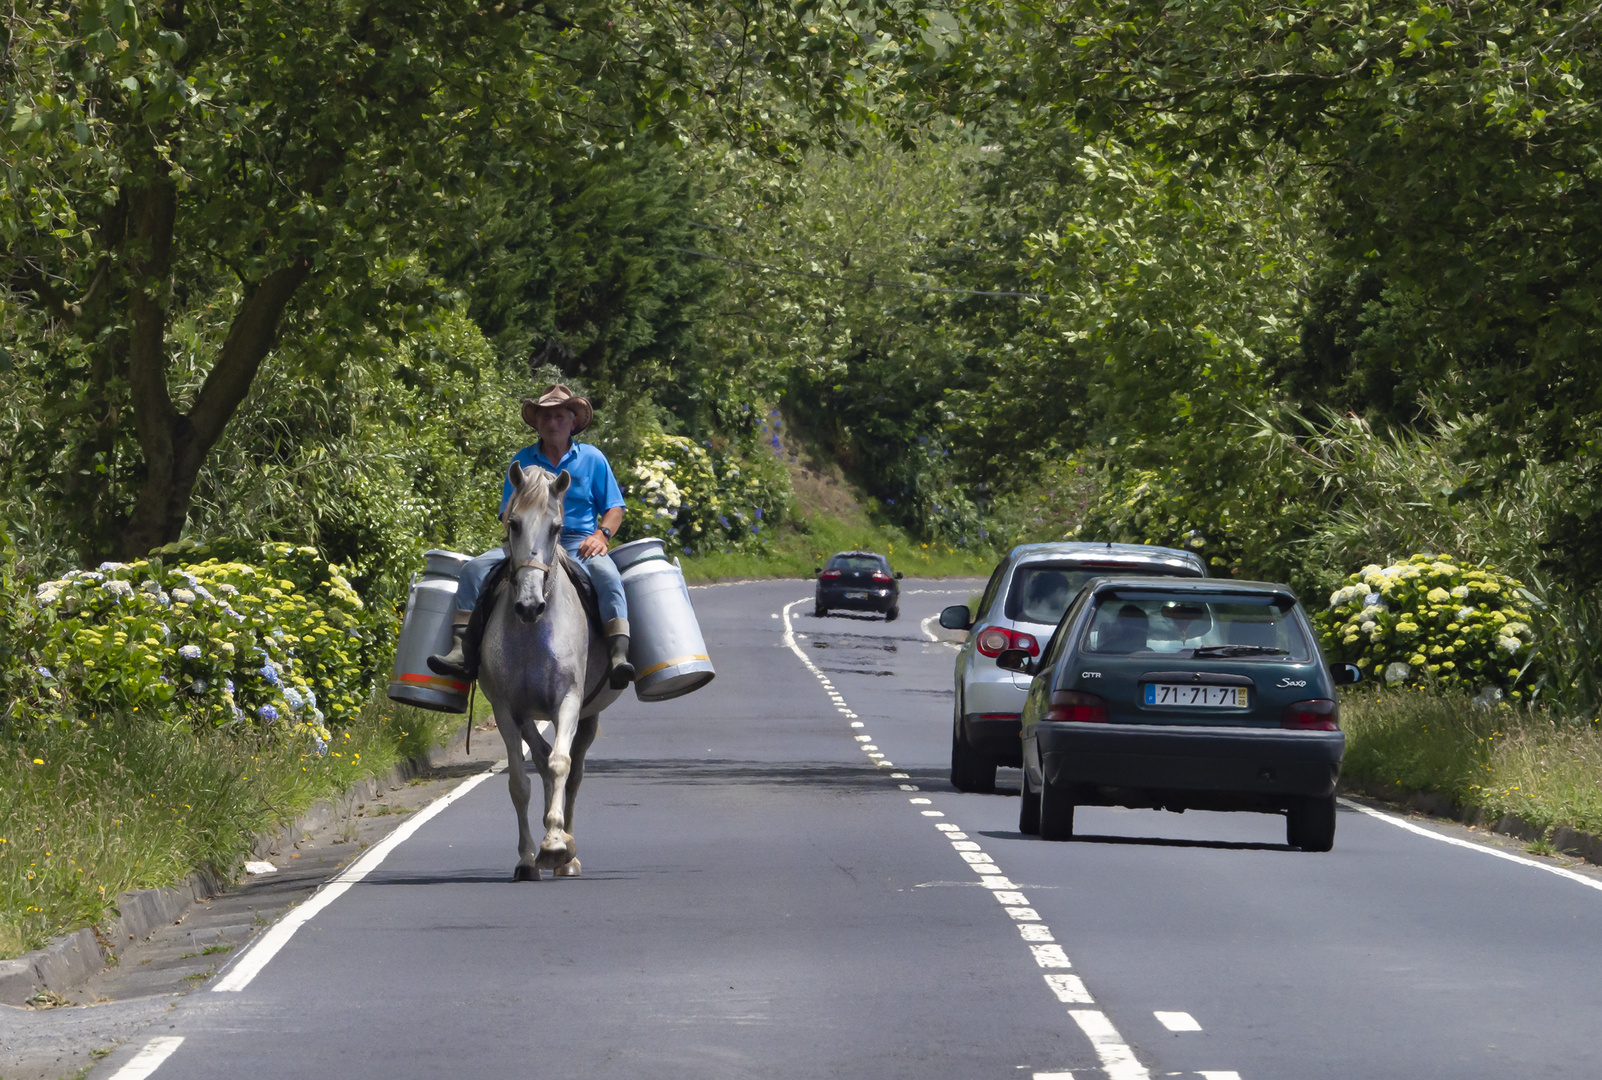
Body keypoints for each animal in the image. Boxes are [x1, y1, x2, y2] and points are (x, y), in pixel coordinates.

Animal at [477, 461, 621, 871]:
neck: (532, 632)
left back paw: (567, 853)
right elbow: (519, 781)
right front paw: (528, 857)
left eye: (556, 527)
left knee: (572, 772)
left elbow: (561, 764)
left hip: (587, 715)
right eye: (513, 523)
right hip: (528, 717)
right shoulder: (507, 710)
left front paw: (556, 843)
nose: (529, 605)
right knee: (540, 761)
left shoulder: (567, 702)